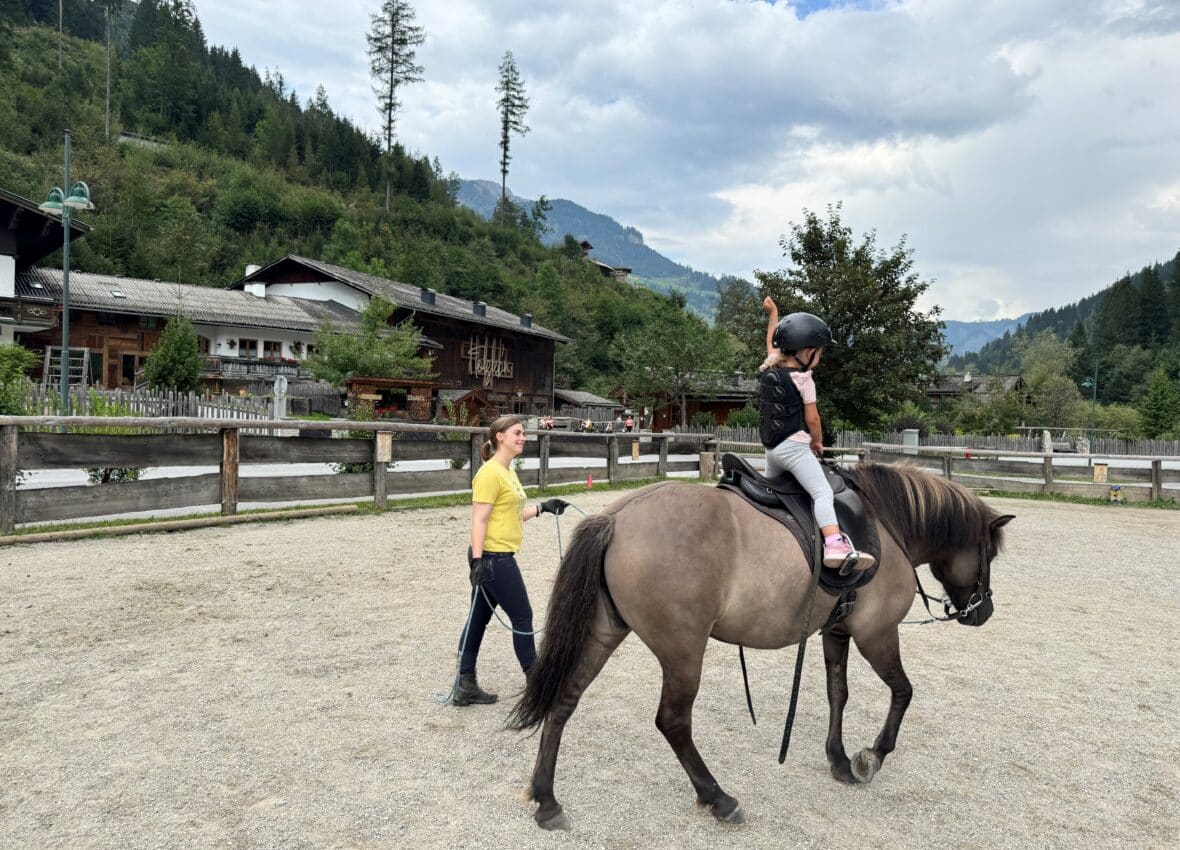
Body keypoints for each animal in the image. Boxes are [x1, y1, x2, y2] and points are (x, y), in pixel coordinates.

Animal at [507, 460, 1014, 826]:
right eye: (989, 553)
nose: (983, 612)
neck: (886, 522)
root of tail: (618, 517)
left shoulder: (836, 631)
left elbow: (838, 692)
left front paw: (838, 759)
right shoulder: (877, 633)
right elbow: (903, 692)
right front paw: (872, 755)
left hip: (604, 632)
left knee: (564, 700)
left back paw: (547, 799)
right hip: (683, 651)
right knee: (673, 722)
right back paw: (718, 797)